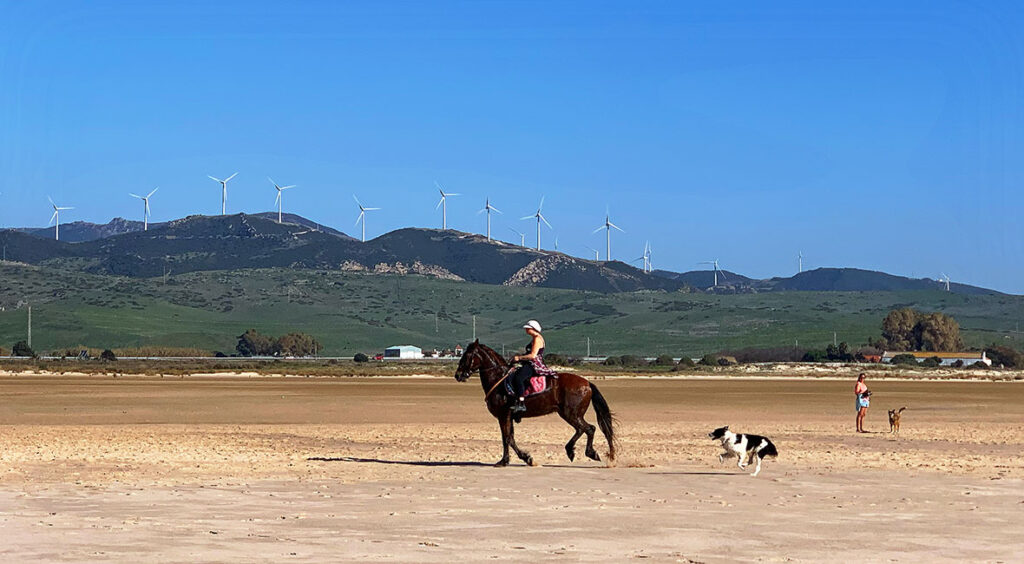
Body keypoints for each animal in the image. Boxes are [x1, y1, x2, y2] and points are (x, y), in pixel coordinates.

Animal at [452, 339, 610, 468]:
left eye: (467, 356)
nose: (458, 375)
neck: (499, 379)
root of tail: (587, 383)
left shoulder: (503, 415)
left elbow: (506, 438)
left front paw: (508, 461)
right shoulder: (509, 416)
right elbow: (510, 438)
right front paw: (524, 458)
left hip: (570, 414)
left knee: (588, 429)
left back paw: (585, 452)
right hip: (570, 414)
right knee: (583, 429)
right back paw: (574, 451)